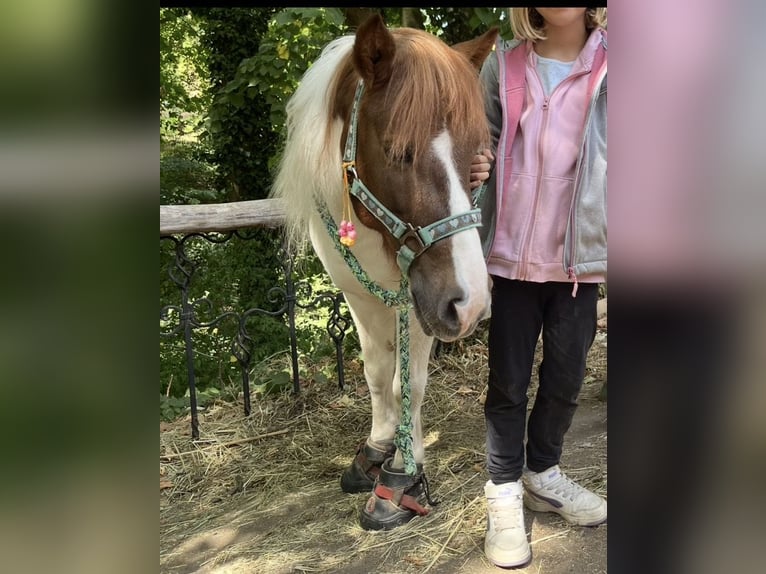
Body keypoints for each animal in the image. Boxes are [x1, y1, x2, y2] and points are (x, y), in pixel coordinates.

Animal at [271, 14, 497, 531]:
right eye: (397, 152)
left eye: (475, 155)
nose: (471, 302)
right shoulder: (358, 292)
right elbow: (376, 372)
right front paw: (378, 446)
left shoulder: (418, 300)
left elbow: (408, 380)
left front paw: (402, 470)